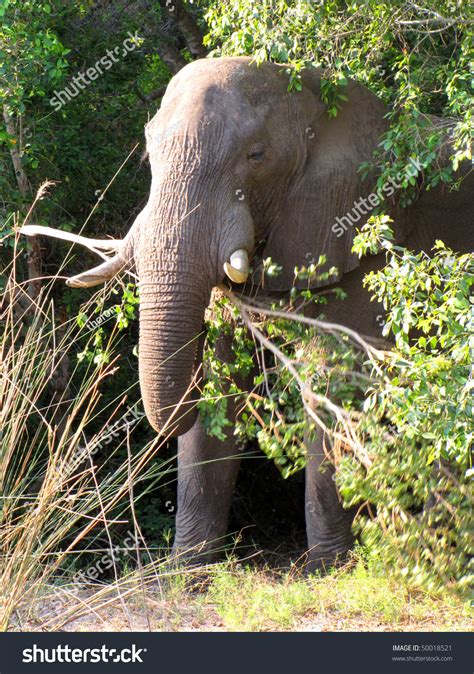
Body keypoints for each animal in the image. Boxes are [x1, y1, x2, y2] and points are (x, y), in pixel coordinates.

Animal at [25, 57, 474, 568]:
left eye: (256, 156)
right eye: (148, 155)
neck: (318, 96)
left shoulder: (361, 234)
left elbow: (332, 383)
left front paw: (327, 569)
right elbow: (221, 381)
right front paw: (185, 572)